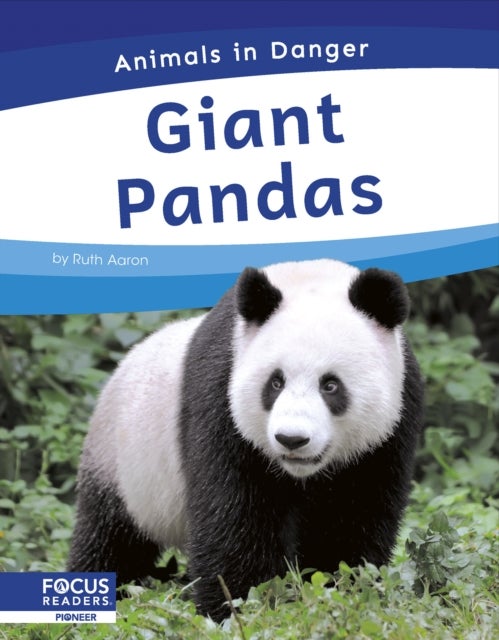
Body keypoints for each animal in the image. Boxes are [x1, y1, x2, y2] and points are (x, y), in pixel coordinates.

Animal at [68, 259, 424, 621]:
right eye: (276, 382)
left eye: (330, 385)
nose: (291, 439)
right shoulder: (220, 396)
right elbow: (233, 516)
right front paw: (242, 607)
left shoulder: (391, 425)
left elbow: (353, 517)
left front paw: (341, 593)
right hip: (122, 462)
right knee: (110, 538)